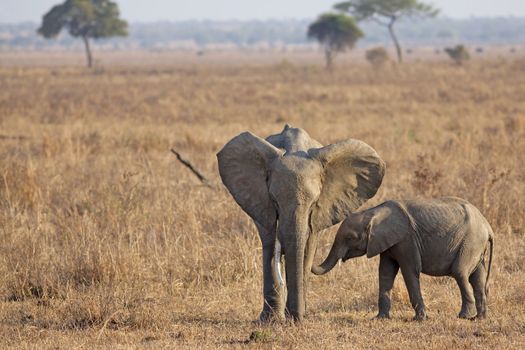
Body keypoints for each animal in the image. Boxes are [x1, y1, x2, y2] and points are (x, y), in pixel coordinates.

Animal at [215, 124, 382, 322]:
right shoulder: (261, 200)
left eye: (314, 203)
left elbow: (307, 249)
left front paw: (297, 318)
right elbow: (270, 245)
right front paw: (272, 320)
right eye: (275, 201)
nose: (295, 317)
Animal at [314, 197, 494, 320]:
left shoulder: (406, 240)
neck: (373, 212)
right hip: (475, 246)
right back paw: (479, 318)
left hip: (470, 242)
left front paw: (420, 319)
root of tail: (488, 226)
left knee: (460, 273)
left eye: (350, 238)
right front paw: (380, 319)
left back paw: (464, 316)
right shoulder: (387, 242)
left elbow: (409, 272)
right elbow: (385, 273)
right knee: (478, 277)